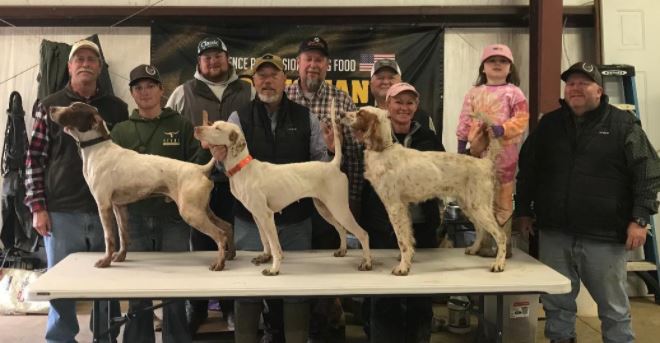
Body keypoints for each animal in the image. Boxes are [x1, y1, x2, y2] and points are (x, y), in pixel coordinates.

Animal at [49, 102, 235, 272]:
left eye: (74, 108)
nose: (50, 108)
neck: (98, 150)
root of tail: (200, 169)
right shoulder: (119, 206)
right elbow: (123, 235)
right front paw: (120, 257)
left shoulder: (103, 205)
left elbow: (109, 238)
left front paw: (105, 261)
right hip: (202, 209)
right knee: (227, 226)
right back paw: (230, 255)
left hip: (191, 212)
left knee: (220, 234)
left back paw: (219, 263)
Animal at [193, 106, 374, 276]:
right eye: (212, 124)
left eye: (217, 128)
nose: (196, 128)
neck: (243, 168)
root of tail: (333, 165)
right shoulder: (257, 216)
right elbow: (265, 240)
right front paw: (265, 257)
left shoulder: (266, 215)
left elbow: (275, 246)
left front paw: (274, 269)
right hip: (325, 208)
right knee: (342, 229)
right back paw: (342, 251)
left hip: (339, 208)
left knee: (363, 233)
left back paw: (367, 263)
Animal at [346, 106, 506, 276]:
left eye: (360, 113)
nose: (341, 114)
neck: (382, 150)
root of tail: (485, 162)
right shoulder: (404, 207)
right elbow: (408, 237)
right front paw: (407, 259)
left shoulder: (395, 207)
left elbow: (402, 241)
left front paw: (403, 267)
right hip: (469, 206)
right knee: (481, 229)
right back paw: (474, 249)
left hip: (479, 206)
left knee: (500, 234)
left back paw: (499, 264)